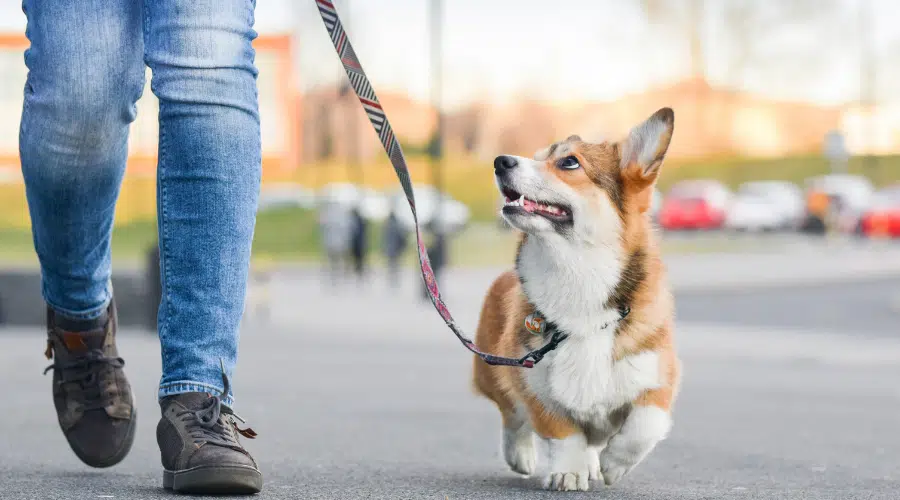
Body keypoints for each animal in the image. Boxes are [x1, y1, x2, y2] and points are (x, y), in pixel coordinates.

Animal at [472, 107, 684, 490]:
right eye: (538, 156)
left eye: (569, 162)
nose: (501, 161)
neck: (578, 275)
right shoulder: (534, 383)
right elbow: (562, 432)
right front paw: (569, 471)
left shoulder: (659, 376)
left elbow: (644, 426)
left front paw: (614, 464)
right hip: (491, 369)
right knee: (512, 416)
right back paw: (523, 455)